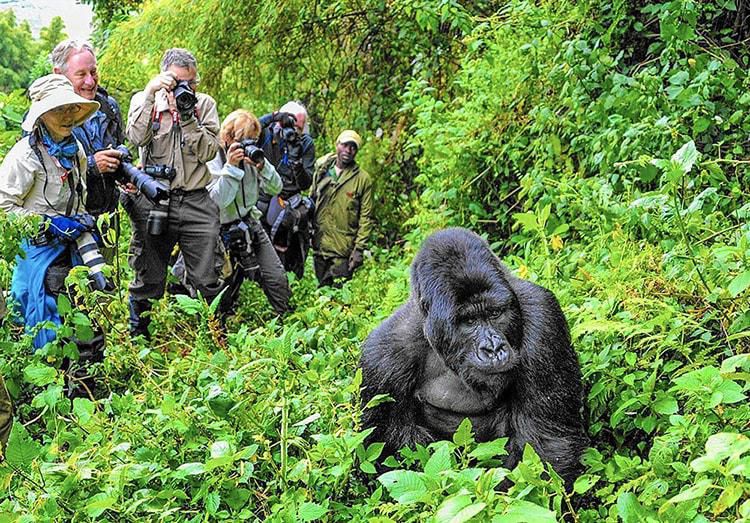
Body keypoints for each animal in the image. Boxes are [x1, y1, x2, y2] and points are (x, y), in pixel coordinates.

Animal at [362, 227, 592, 486]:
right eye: (469, 321)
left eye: (495, 313)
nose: (493, 348)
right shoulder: (382, 359)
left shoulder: (543, 316)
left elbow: (546, 443)